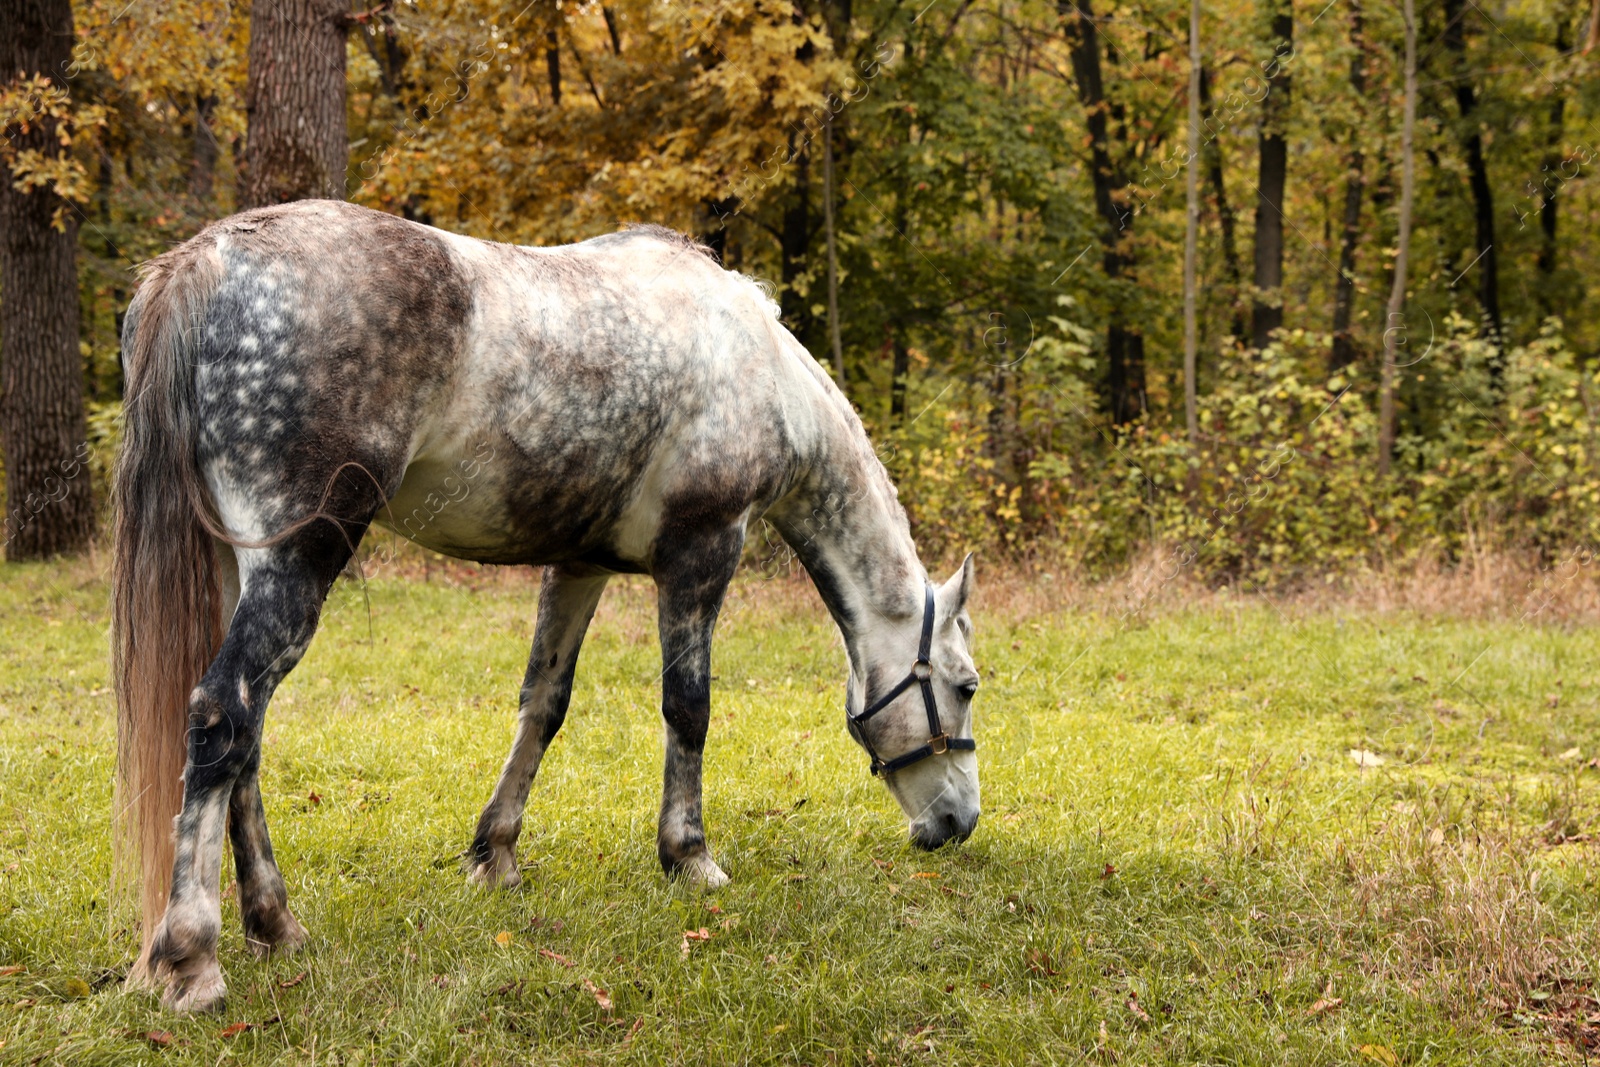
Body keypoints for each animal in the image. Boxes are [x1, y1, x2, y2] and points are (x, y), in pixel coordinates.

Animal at [112, 198, 979, 1011]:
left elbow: (543, 704)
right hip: (297, 560)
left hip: (239, 565)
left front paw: (495, 854)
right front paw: (689, 855)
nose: (959, 823)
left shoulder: (577, 565)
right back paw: (191, 957)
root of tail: (205, 260)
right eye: (966, 686)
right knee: (224, 711)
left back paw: (275, 924)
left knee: (245, 738)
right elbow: (688, 707)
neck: (761, 367)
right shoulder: (703, 552)